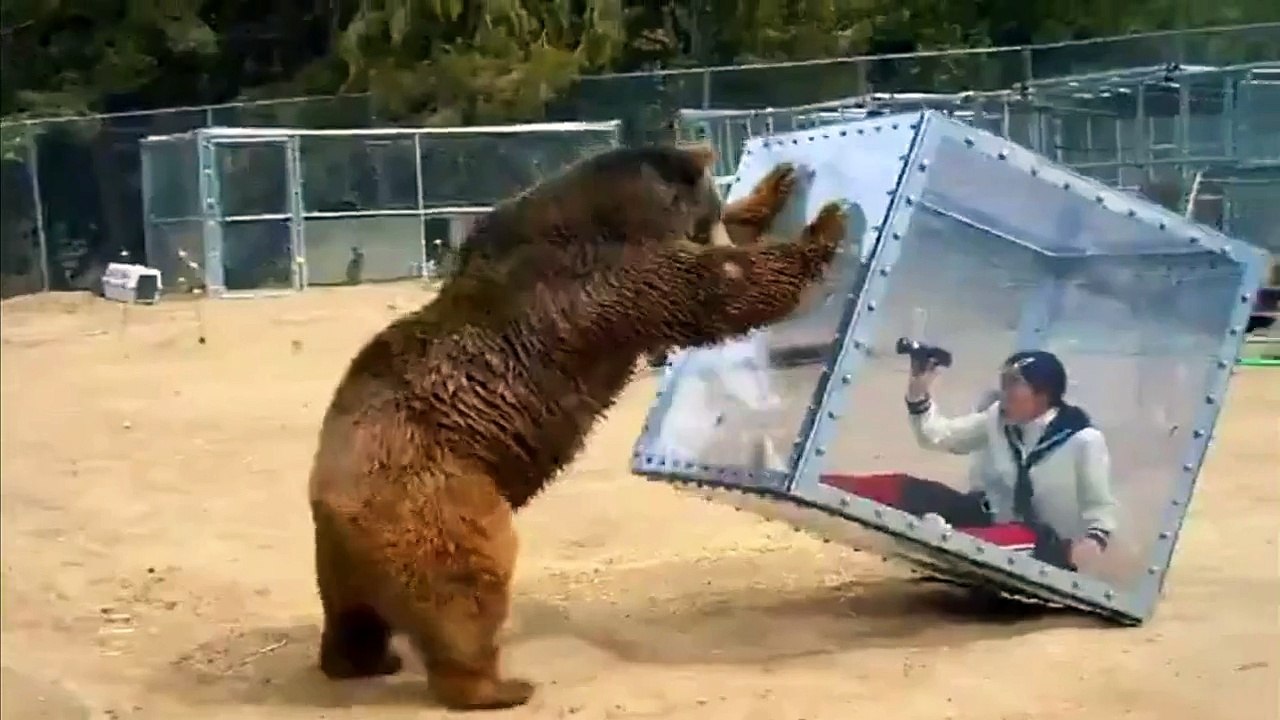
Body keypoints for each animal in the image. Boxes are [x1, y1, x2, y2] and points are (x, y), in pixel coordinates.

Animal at [307, 144, 846, 711]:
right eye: (704, 216)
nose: (714, 218)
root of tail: (331, 496)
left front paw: (776, 185)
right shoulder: (612, 281)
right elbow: (718, 286)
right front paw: (826, 224)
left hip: (346, 555)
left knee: (352, 615)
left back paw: (361, 660)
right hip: (435, 497)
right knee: (465, 588)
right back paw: (496, 686)